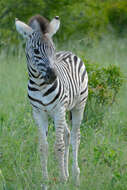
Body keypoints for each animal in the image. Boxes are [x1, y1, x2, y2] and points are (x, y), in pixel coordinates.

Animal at [15, 15, 88, 186]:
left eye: (53, 49)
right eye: (36, 51)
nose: (53, 76)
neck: (40, 85)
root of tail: (69, 52)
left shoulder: (58, 109)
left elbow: (58, 146)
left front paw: (62, 180)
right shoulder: (38, 113)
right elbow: (43, 147)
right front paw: (45, 180)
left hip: (78, 106)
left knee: (75, 136)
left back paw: (75, 176)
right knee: (67, 135)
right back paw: (68, 173)